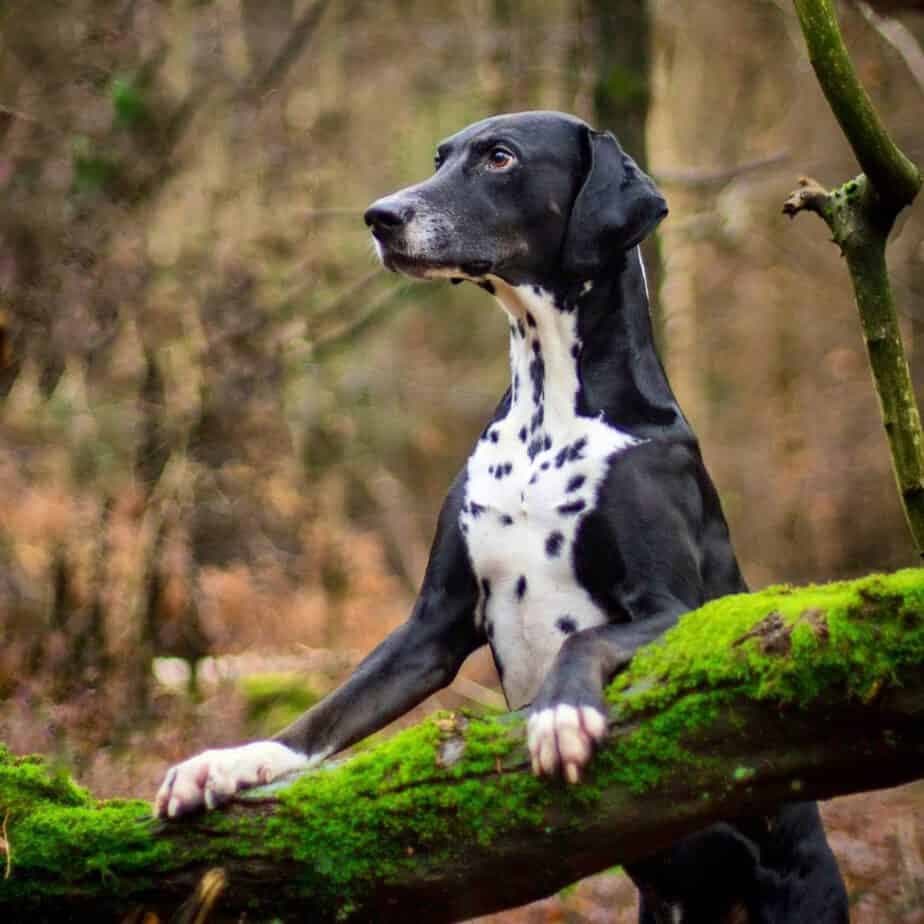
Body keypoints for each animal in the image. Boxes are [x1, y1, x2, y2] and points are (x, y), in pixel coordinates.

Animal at [155, 112, 848, 920]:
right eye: (440, 157)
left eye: (499, 158)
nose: (381, 216)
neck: (546, 411)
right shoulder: (432, 627)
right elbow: (327, 712)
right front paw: (227, 763)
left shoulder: (673, 610)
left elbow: (586, 640)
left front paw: (559, 714)